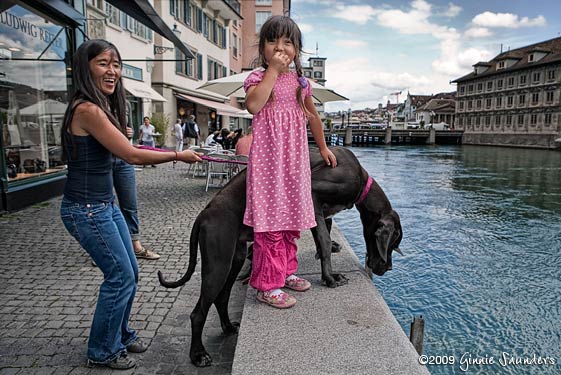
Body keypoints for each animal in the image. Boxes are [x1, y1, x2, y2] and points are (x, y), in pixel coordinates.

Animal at [158, 147, 402, 368]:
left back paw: (227, 327)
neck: (360, 178)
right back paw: (198, 354)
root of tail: (204, 213)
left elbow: (324, 234)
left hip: (234, 258)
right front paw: (330, 277)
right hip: (217, 264)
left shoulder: (319, 211)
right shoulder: (312, 195)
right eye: (393, 243)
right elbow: (323, 241)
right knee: (198, 313)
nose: (388, 268)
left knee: (222, 297)